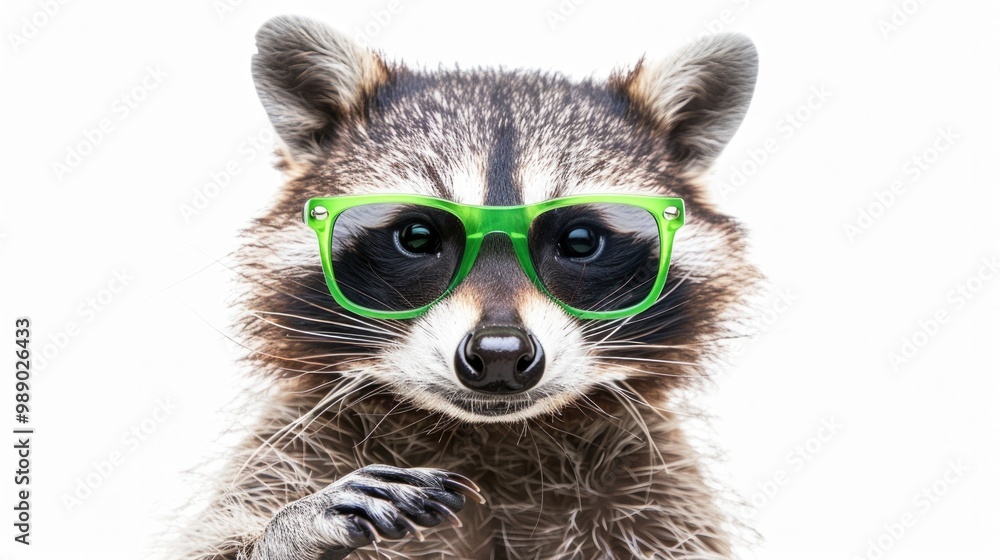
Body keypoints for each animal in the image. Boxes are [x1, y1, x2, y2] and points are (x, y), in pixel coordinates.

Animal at [177, 14, 760, 560]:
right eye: (417, 236)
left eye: (579, 240)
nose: (500, 353)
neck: (491, 438)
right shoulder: (290, 446)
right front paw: (291, 527)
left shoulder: (662, 489)